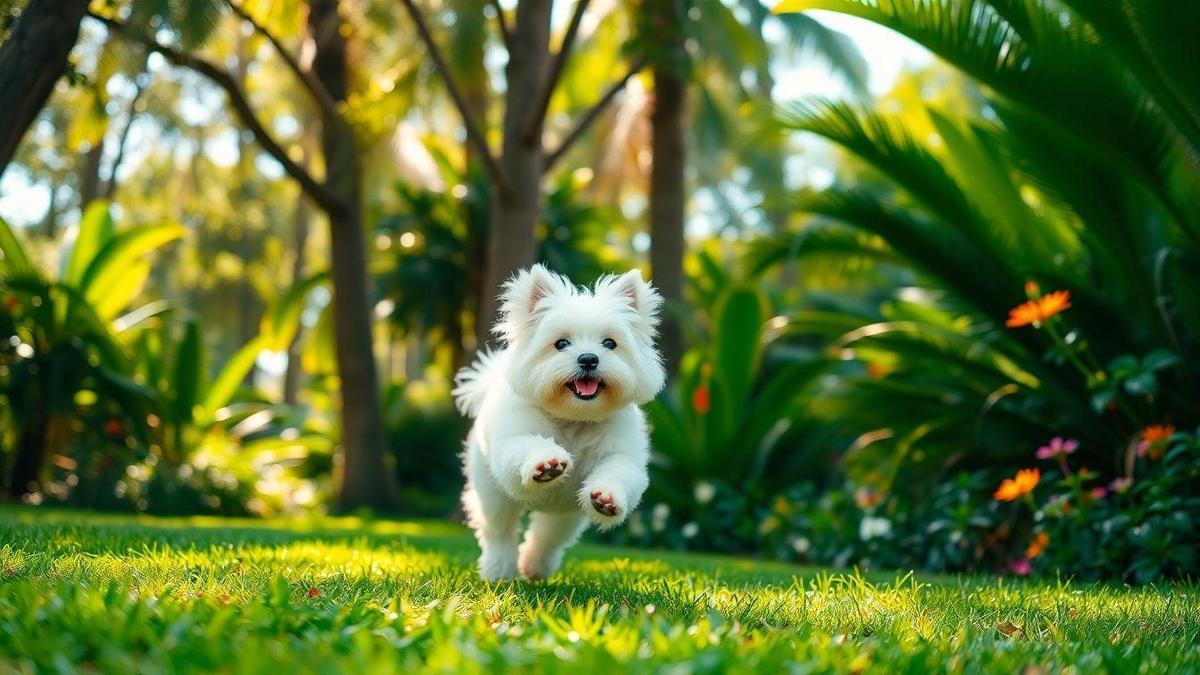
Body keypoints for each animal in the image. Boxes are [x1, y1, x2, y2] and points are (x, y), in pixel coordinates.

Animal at [453, 263, 672, 578]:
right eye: (561, 343)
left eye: (610, 343)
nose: (589, 359)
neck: (575, 418)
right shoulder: (513, 443)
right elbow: (526, 448)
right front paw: (546, 464)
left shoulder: (621, 456)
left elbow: (619, 473)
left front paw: (606, 498)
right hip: (492, 495)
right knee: (499, 532)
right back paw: (499, 570)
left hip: (567, 515)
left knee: (547, 536)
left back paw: (534, 566)